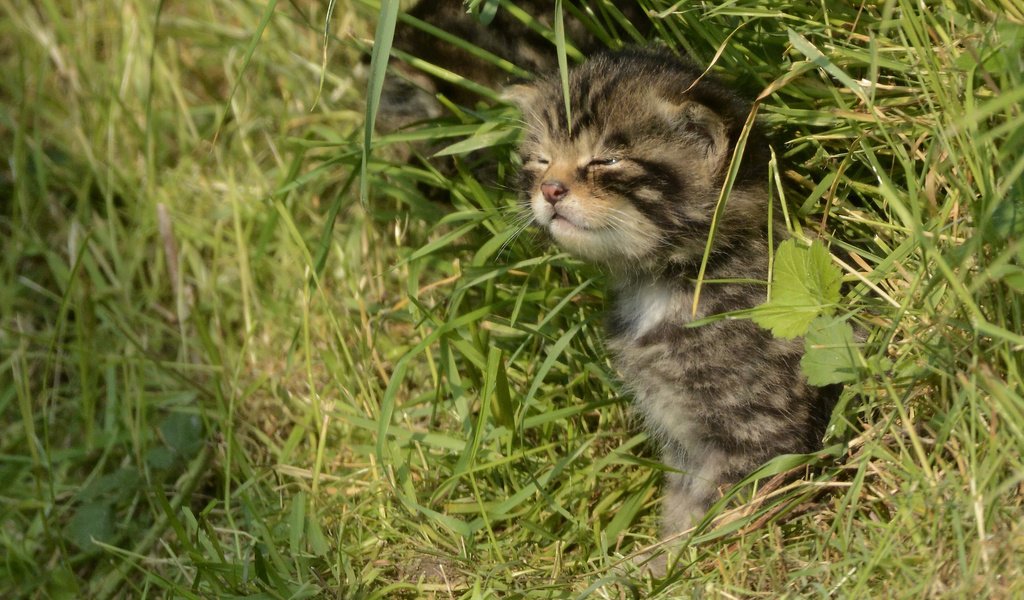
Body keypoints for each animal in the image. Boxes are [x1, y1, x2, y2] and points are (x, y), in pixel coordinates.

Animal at [512, 47, 839, 540]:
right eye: (540, 160)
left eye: (607, 161)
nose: (550, 189)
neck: (668, 283)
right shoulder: (684, 445)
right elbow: (682, 504)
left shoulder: (760, 430)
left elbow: (714, 512)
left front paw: (679, 556)